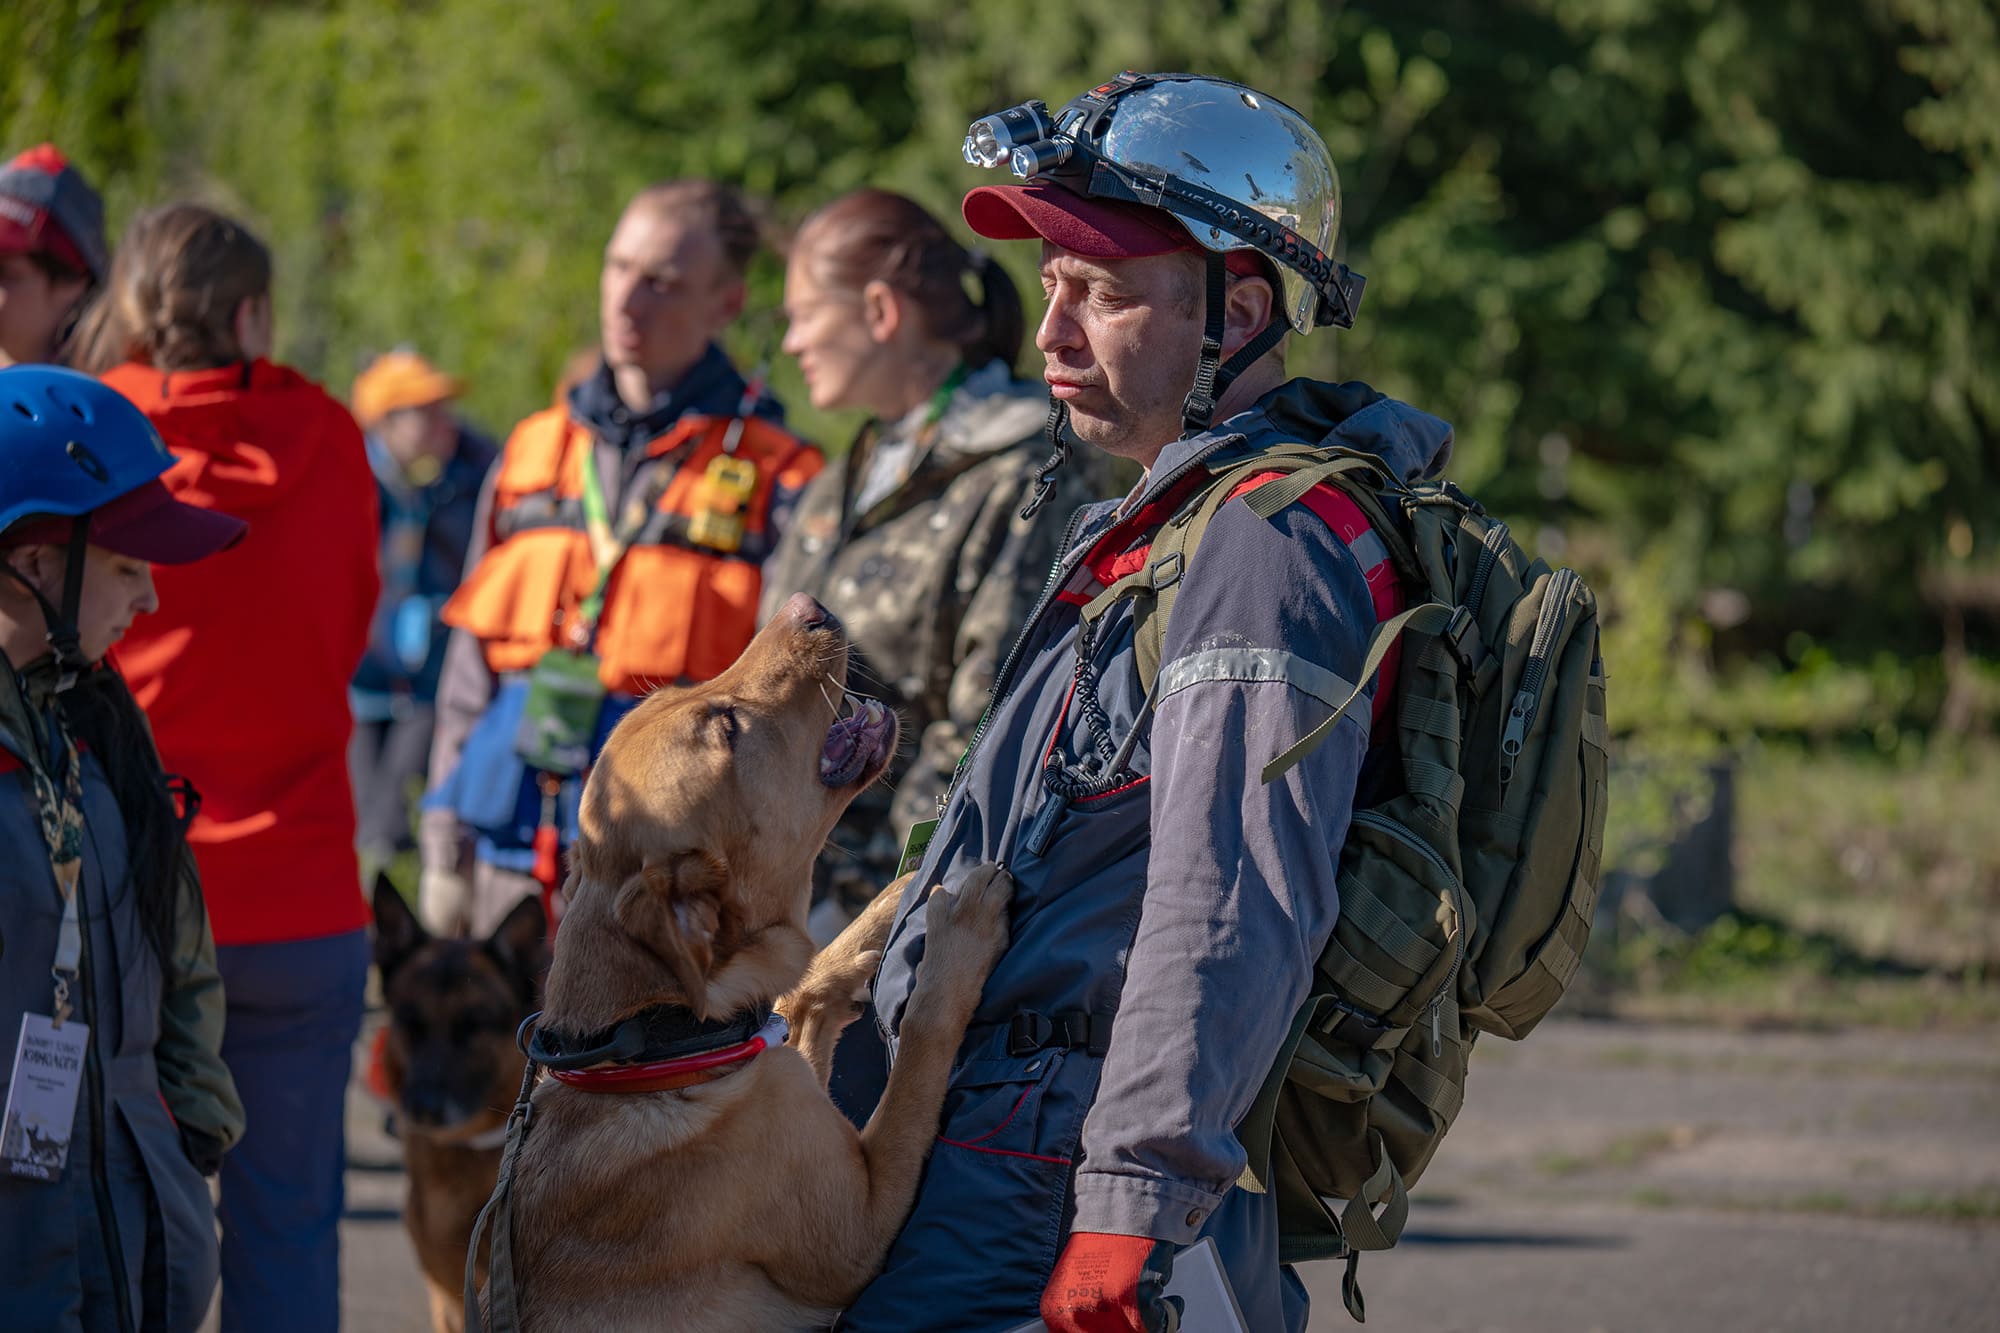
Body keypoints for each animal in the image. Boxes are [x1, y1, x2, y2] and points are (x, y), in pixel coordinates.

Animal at [486, 592, 1016, 1328]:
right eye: (726, 726)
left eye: (680, 691)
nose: (807, 604)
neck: (660, 1041)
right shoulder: (865, 1225)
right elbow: (920, 1045)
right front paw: (953, 938)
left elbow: (803, 991)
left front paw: (891, 901)